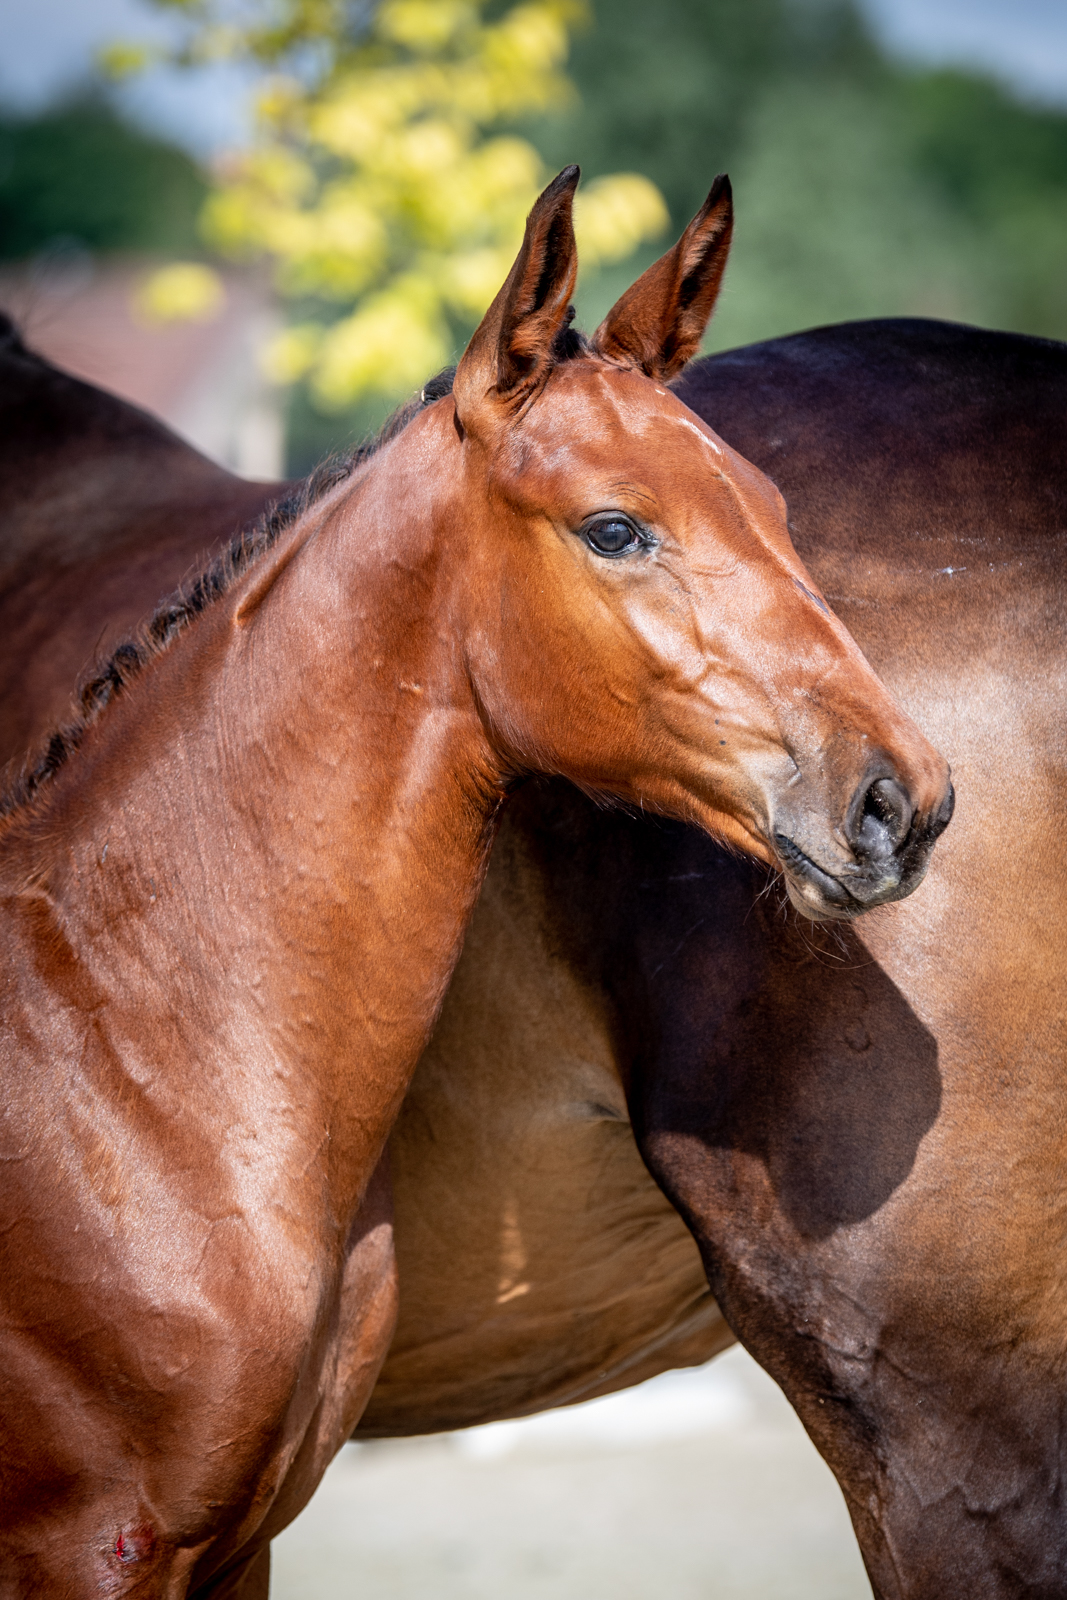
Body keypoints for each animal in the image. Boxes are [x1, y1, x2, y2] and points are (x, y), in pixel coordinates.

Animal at [0, 170, 952, 1598]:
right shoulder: (90, 1549)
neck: (117, 1056)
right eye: (612, 526)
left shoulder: (232, 1546)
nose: (901, 799)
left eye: (776, 508)